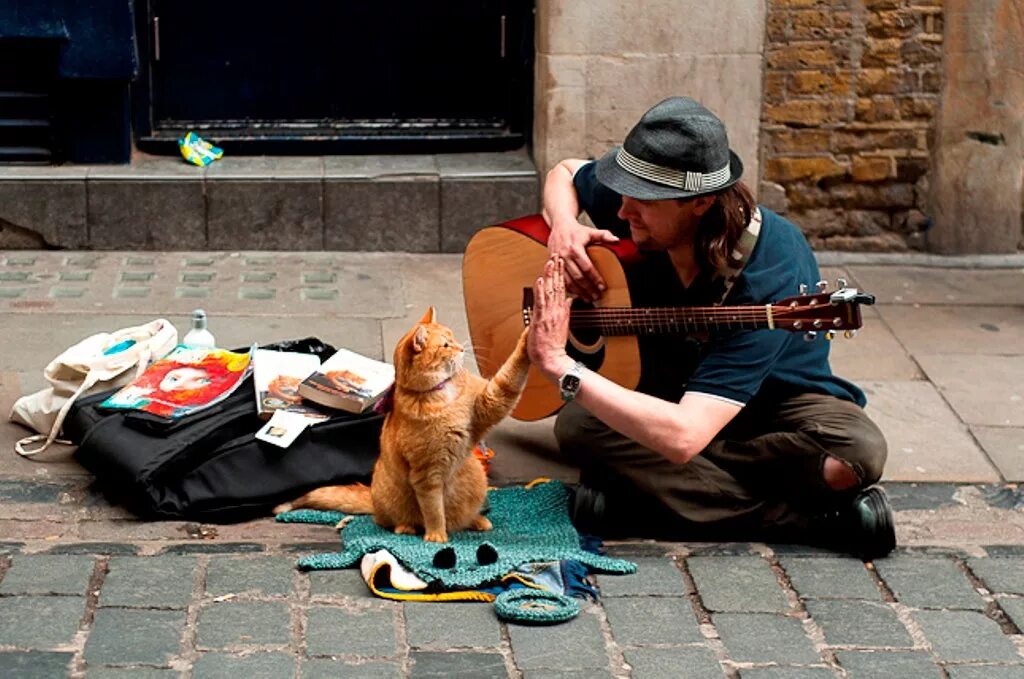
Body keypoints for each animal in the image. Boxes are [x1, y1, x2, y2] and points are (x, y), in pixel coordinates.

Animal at [274, 307, 528, 540]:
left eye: (453, 337)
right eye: (446, 345)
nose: (462, 348)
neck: (442, 393)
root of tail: (372, 496)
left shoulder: (491, 401)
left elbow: (510, 375)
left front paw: (528, 336)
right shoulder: (426, 475)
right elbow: (434, 511)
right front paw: (437, 537)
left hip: (476, 476)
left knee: (461, 518)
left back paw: (476, 520)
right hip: (393, 500)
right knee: (394, 521)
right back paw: (406, 528)